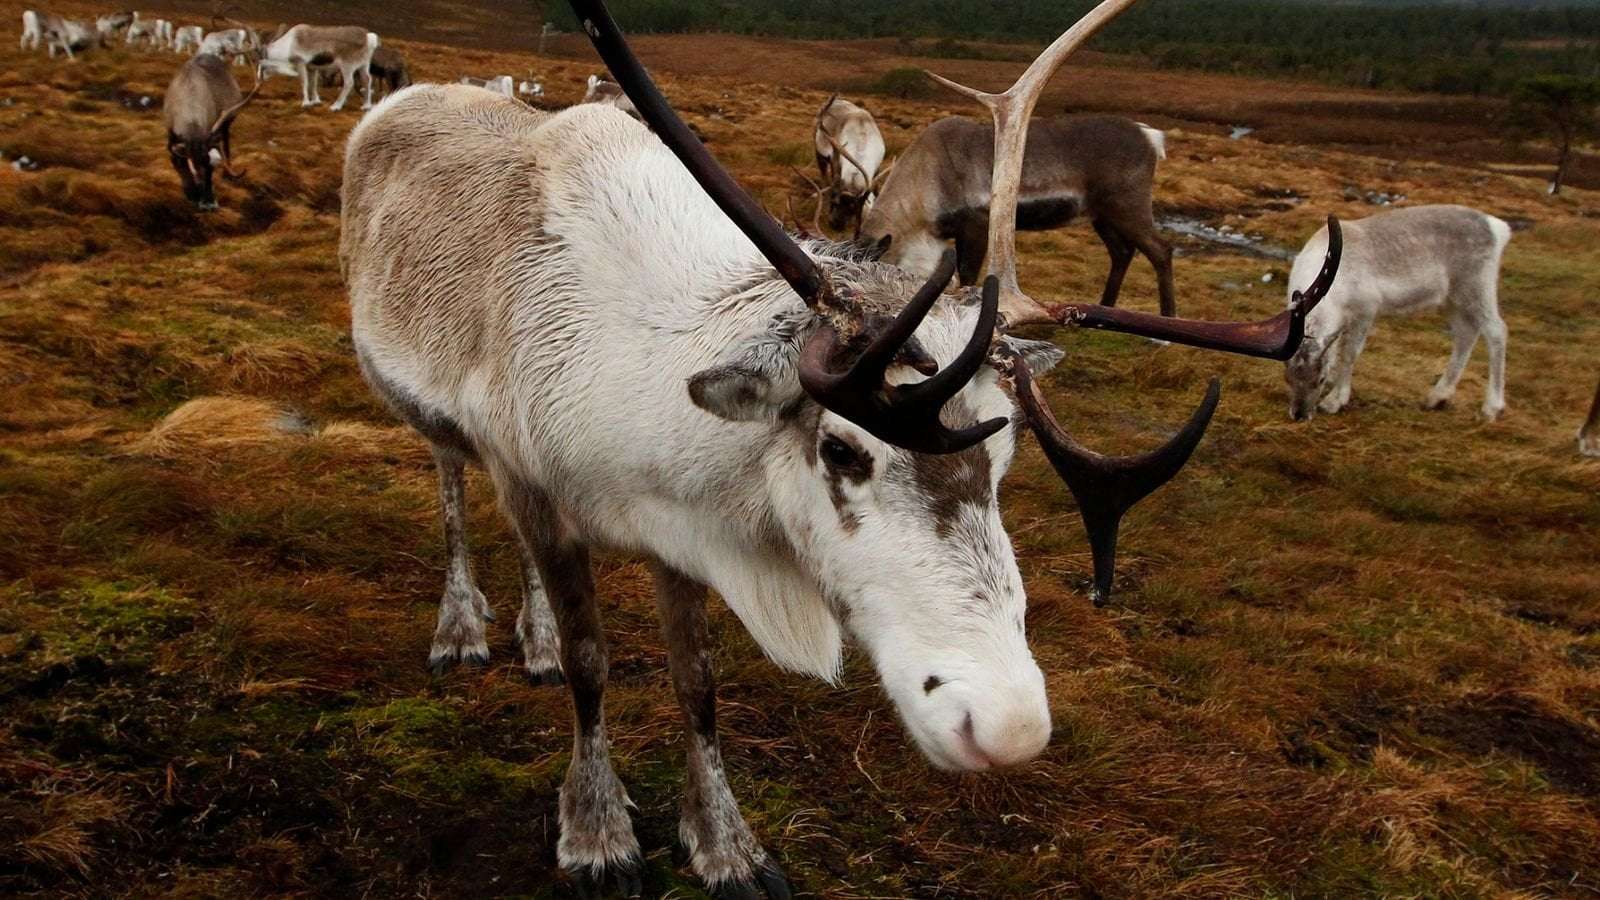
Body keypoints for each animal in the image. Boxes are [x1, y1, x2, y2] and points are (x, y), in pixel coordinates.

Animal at [164, 53, 258, 210]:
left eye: (208, 161)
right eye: (193, 164)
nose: (208, 204)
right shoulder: (172, 137)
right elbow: (179, 164)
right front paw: (191, 193)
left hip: (226, 124)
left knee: (226, 145)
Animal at [812, 95, 888, 236]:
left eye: (854, 209)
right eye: (835, 201)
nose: (835, 225)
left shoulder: (876, 171)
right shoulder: (836, 162)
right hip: (819, 153)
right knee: (824, 174)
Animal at [860, 113, 1176, 317]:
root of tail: (1151, 137)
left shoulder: (976, 223)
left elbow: (967, 275)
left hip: (1128, 206)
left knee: (1161, 249)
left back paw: (1166, 326)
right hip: (1101, 215)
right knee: (1122, 252)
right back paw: (1106, 307)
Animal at [1283, 205, 1510, 422]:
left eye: (1320, 378)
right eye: (1288, 377)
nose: (1300, 415)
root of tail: (1498, 228)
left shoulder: (1366, 309)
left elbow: (1350, 353)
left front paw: (1334, 401)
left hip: (1477, 285)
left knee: (1496, 331)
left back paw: (1491, 408)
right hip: (1453, 298)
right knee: (1466, 333)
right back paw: (1437, 397)